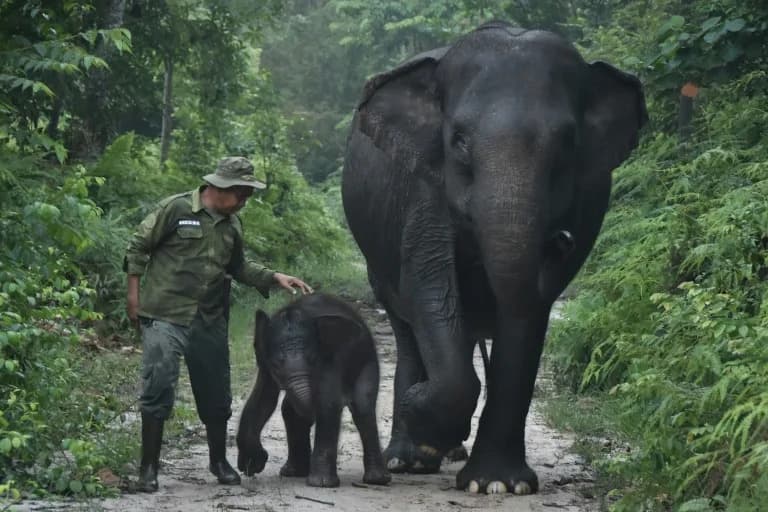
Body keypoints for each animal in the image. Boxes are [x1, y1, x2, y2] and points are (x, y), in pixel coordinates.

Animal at [236, 293, 391, 488]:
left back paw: (376, 480)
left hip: (367, 360)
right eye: (276, 367)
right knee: (288, 410)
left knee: (363, 408)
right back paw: (293, 472)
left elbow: (328, 403)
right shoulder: (264, 361)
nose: (251, 468)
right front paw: (252, 464)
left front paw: (321, 483)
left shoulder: (332, 357)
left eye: (312, 360)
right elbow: (263, 399)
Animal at [341, 21, 647, 495]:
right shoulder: (423, 187)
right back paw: (407, 457)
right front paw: (422, 421)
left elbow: (526, 315)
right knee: (406, 323)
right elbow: (429, 285)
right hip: (377, 262)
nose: (561, 241)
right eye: (459, 140)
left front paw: (497, 484)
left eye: (568, 143)